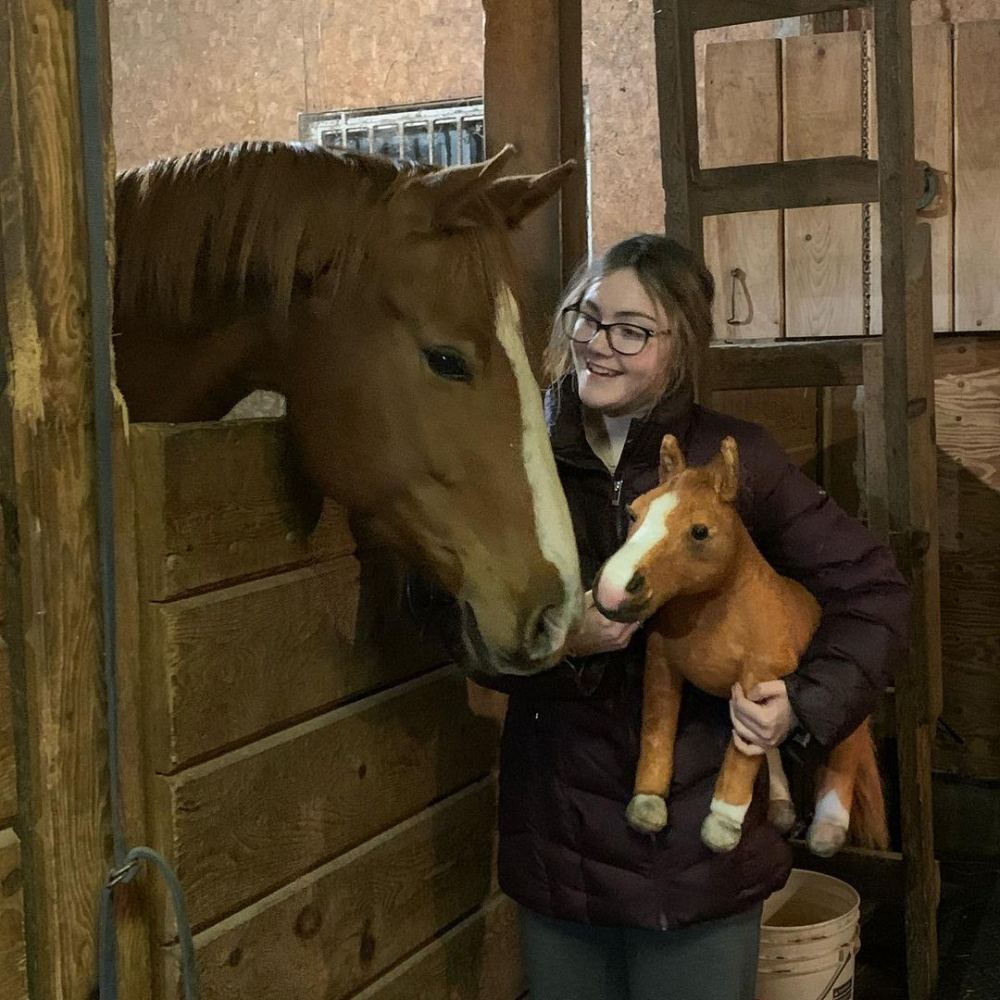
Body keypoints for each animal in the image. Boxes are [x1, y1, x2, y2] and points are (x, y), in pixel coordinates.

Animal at [588, 434, 888, 856]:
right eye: (633, 513)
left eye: (700, 531)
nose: (612, 591)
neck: (715, 614)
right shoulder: (663, 667)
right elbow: (658, 728)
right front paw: (648, 803)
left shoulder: (757, 683)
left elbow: (744, 752)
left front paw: (723, 823)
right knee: (774, 749)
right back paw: (781, 808)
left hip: (845, 712)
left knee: (844, 750)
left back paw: (827, 829)